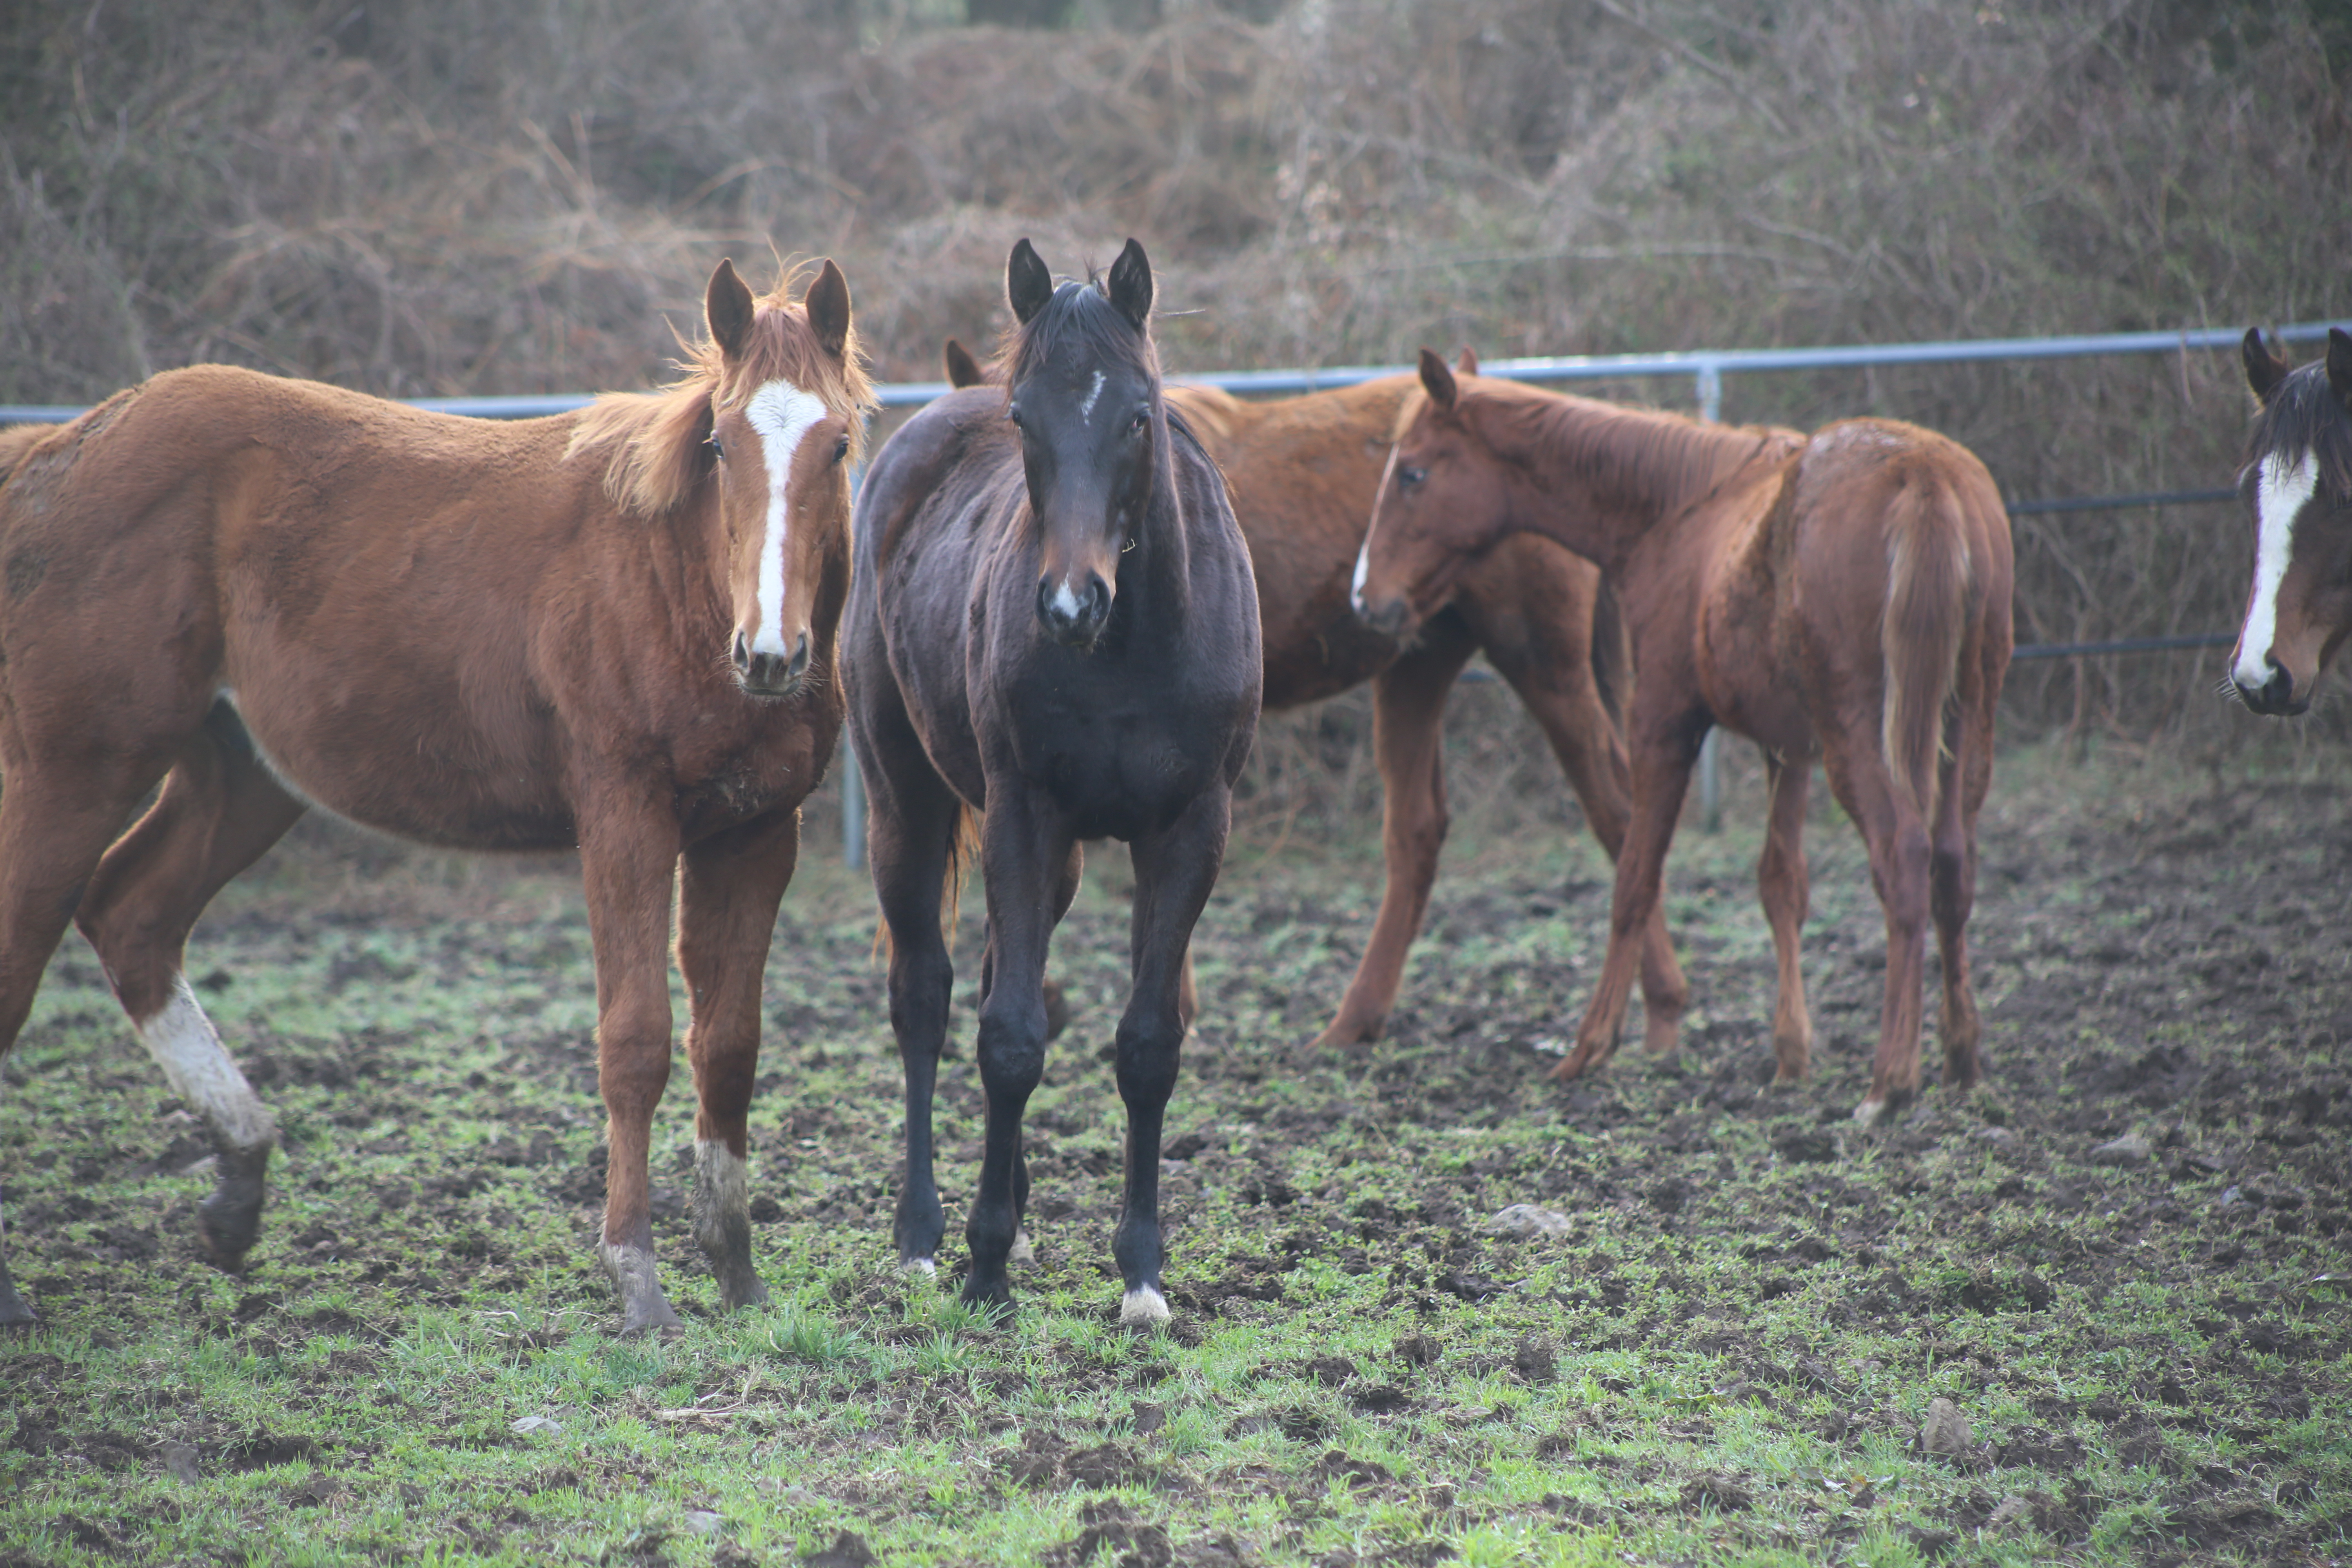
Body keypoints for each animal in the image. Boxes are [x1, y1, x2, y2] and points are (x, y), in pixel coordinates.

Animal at [0, 261, 875, 1335]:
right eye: (719, 441)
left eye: (838, 444)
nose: (770, 656)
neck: (676, 583)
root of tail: (51, 453)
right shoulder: (625, 817)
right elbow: (636, 1042)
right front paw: (637, 1278)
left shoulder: (753, 832)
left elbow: (732, 1046)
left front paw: (738, 1272)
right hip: (72, 774)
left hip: (242, 777)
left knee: (133, 916)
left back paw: (239, 1188)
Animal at [851, 245, 1270, 1316]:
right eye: (1023, 416)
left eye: (1136, 414)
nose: (1070, 602)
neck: (1130, 644)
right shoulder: (1022, 812)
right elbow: (1008, 1040)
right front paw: (984, 1262)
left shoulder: (1189, 830)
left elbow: (1146, 1045)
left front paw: (1142, 1274)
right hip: (904, 802)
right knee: (924, 998)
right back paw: (922, 1235)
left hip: (1065, 859)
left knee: (1000, 975)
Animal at [1354, 352, 2013, 1128]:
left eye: (1413, 473)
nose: (1366, 599)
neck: (1680, 511)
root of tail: (1923, 475)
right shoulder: (1787, 747)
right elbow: (1781, 884)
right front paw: (1791, 1057)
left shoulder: (1662, 727)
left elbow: (1634, 880)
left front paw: (1590, 1049)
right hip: (1965, 721)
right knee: (1952, 866)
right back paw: (1961, 1060)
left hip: (1861, 737)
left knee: (1903, 856)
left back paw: (1890, 1082)